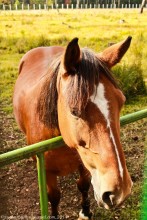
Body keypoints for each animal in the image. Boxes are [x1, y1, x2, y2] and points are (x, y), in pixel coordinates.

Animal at [13, 37, 133, 219]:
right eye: (74, 111)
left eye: (122, 101)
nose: (120, 191)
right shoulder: (47, 172)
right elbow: (54, 196)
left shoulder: (85, 163)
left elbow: (83, 185)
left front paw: (85, 211)